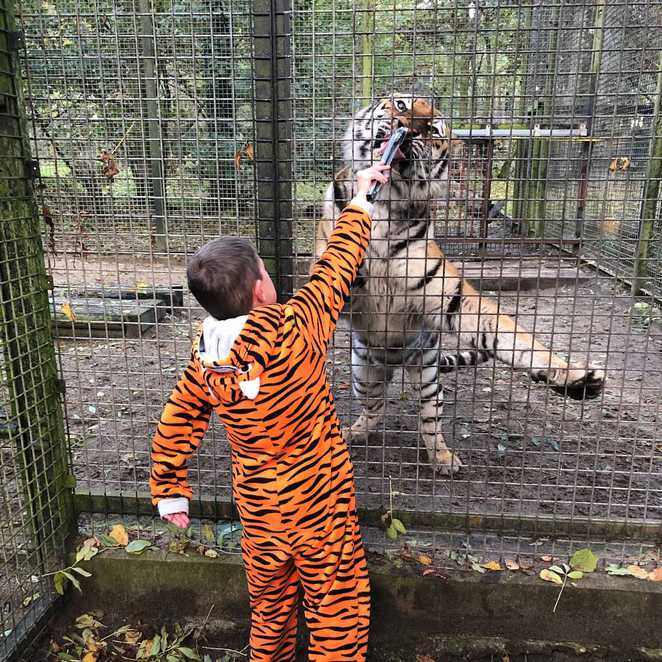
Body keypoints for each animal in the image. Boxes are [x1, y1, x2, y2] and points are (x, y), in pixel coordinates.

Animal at [316, 94, 608, 478]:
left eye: (432, 129)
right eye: (400, 105)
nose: (408, 128)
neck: (386, 203)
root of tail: (395, 362)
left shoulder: (449, 296)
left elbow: (512, 336)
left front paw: (574, 376)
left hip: (428, 376)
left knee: (429, 421)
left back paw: (443, 458)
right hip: (363, 372)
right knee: (373, 407)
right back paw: (356, 432)